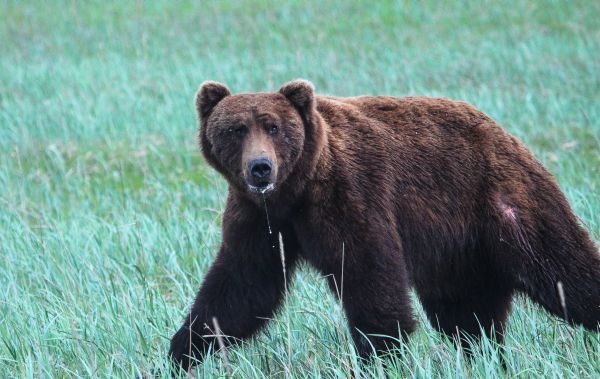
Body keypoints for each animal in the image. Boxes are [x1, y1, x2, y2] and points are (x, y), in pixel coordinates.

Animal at [169, 79, 600, 372]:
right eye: (236, 129)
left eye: (274, 127)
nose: (260, 167)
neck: (297, 190)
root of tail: (503, 131)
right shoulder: (261, 220)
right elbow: (241, 289)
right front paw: (182, 350)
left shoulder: (351, 194)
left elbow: (370, 278)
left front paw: (382, 356)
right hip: (457, 251)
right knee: (466, 315)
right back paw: (484, 357)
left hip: (503, 201)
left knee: (565, 271)